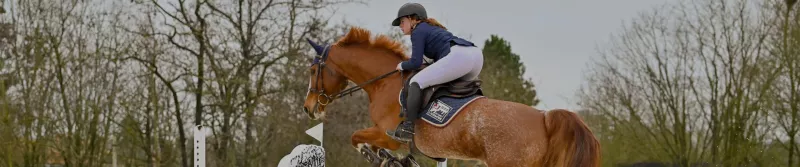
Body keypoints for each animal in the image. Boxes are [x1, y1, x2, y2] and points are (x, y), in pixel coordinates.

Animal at [302, 26, 600, 166]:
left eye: (313, 70)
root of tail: (544, 119)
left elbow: (357, 138)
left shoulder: (386, 133)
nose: (308, 108)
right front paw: (393, 160)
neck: (384, 82)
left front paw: (380, 158)